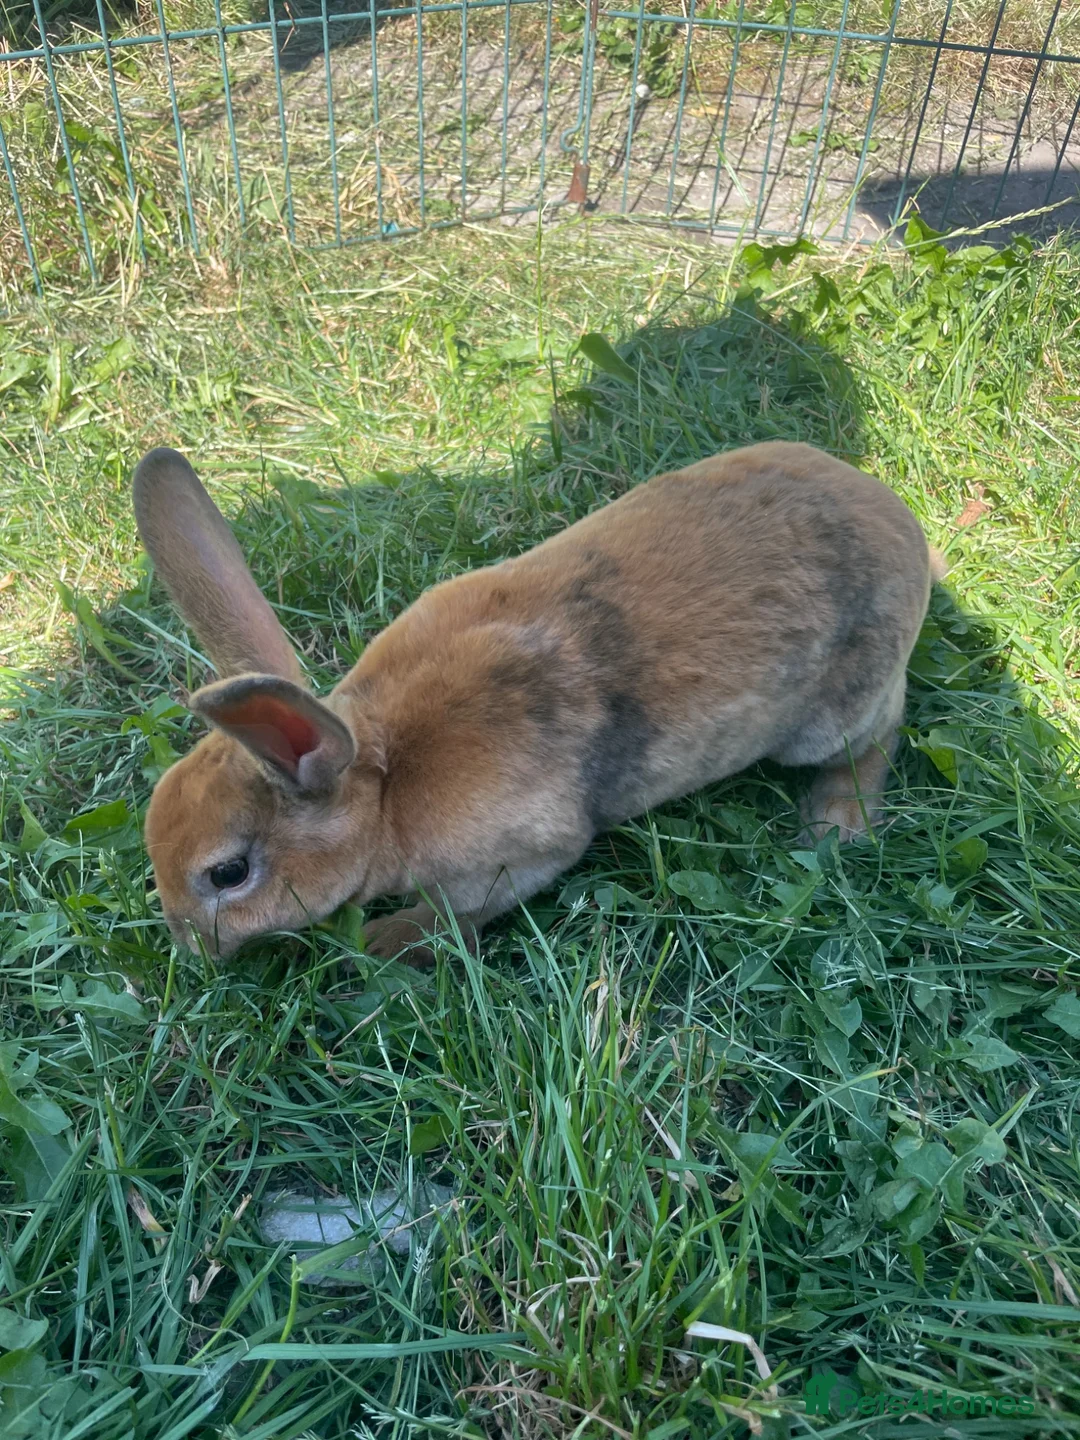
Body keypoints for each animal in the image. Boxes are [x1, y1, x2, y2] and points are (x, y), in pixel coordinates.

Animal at [132, 441, 944, 965]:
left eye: (228, 874)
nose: (189, 950)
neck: (385, 779)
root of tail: (903, 524)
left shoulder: (524, 857)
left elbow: (461, 913)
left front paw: (386, 945)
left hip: (834, 715)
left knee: (881, 731)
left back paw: (836, 822)